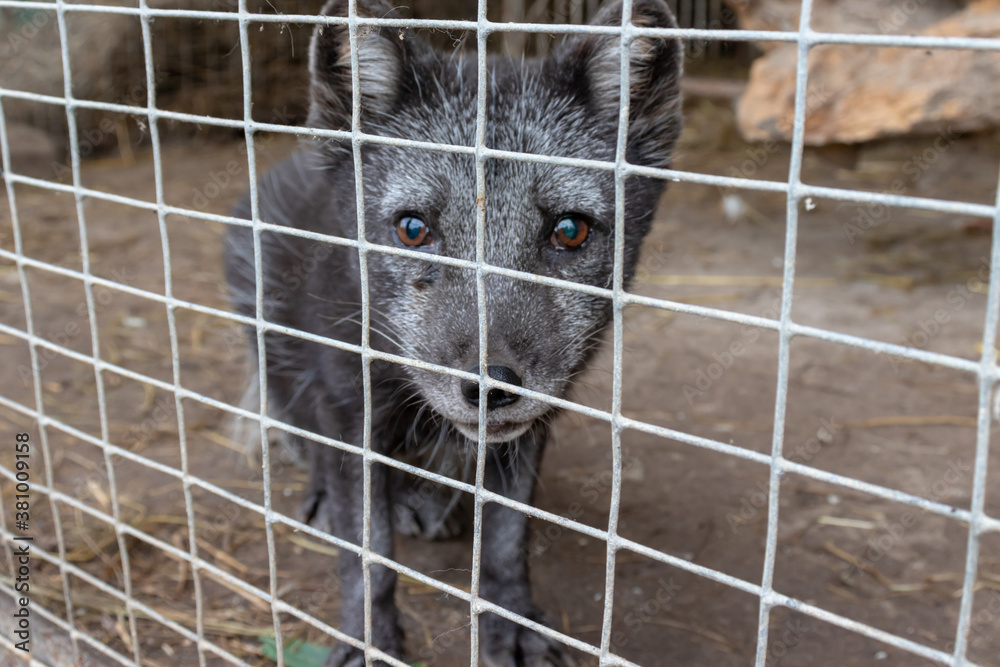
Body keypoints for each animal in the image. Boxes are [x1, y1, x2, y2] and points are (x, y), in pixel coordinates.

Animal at [224, 0, 683, 664]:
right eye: (413, 229)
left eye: (570, 230)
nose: (491, 386)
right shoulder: (350, 405)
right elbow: (368, 555)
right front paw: (369, 637)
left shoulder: (530, 431)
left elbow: (505, 542)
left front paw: (511, 624)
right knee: (302, 426)